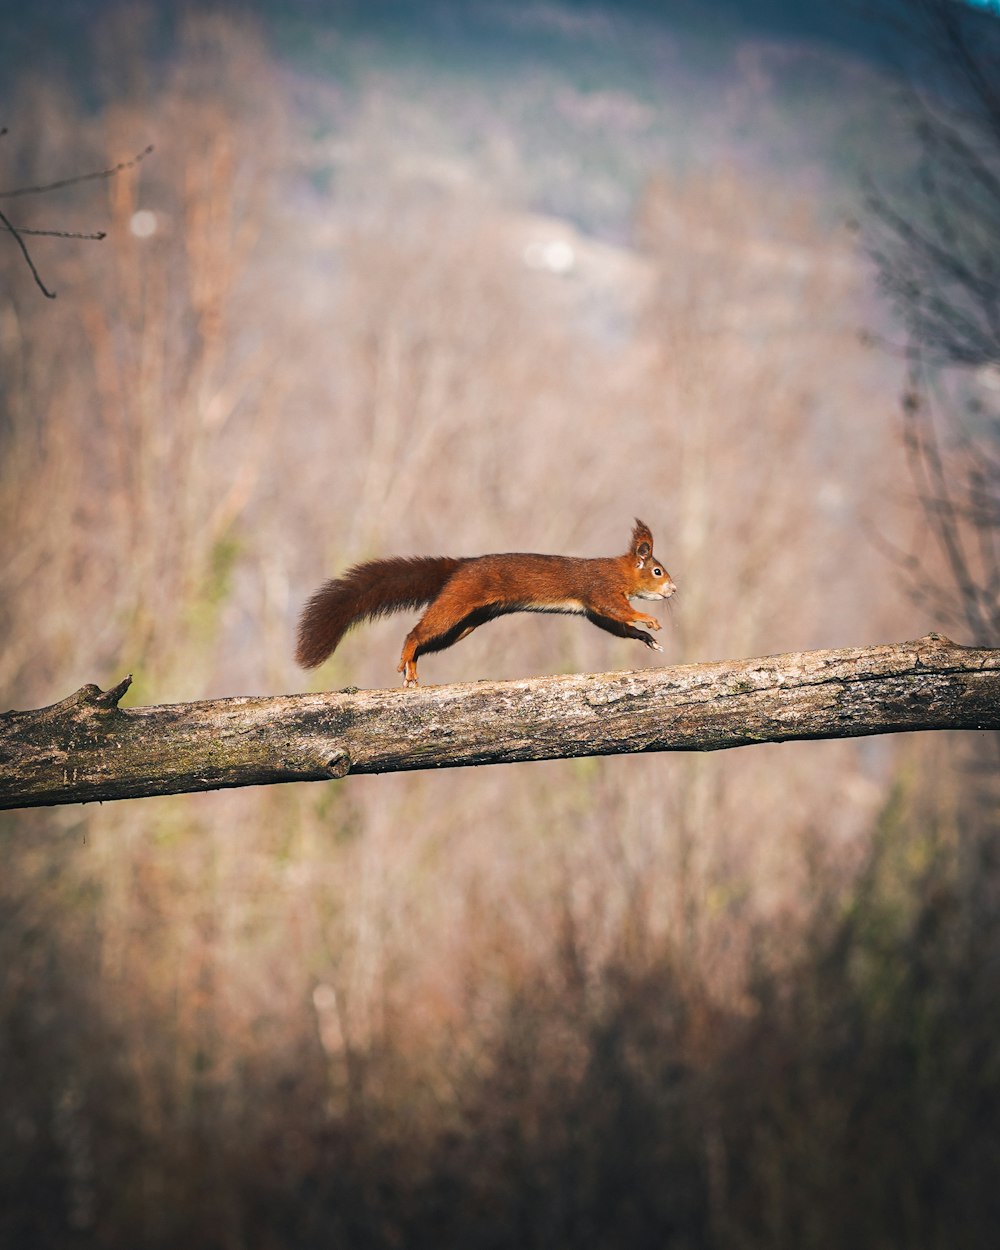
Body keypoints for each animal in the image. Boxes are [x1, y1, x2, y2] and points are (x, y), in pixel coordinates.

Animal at [292, 520, 675, 690]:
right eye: (657, 570)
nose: (673, 589)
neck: (619, 570)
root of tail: (461, 566)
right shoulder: (600, 590)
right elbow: (618, 610)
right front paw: (649, 620)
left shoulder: (592, 609)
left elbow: (615, 625)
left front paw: (646, 638)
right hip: (459, 601)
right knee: (417, 632)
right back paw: (407, 657)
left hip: (466, 623)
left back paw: (413, 668)